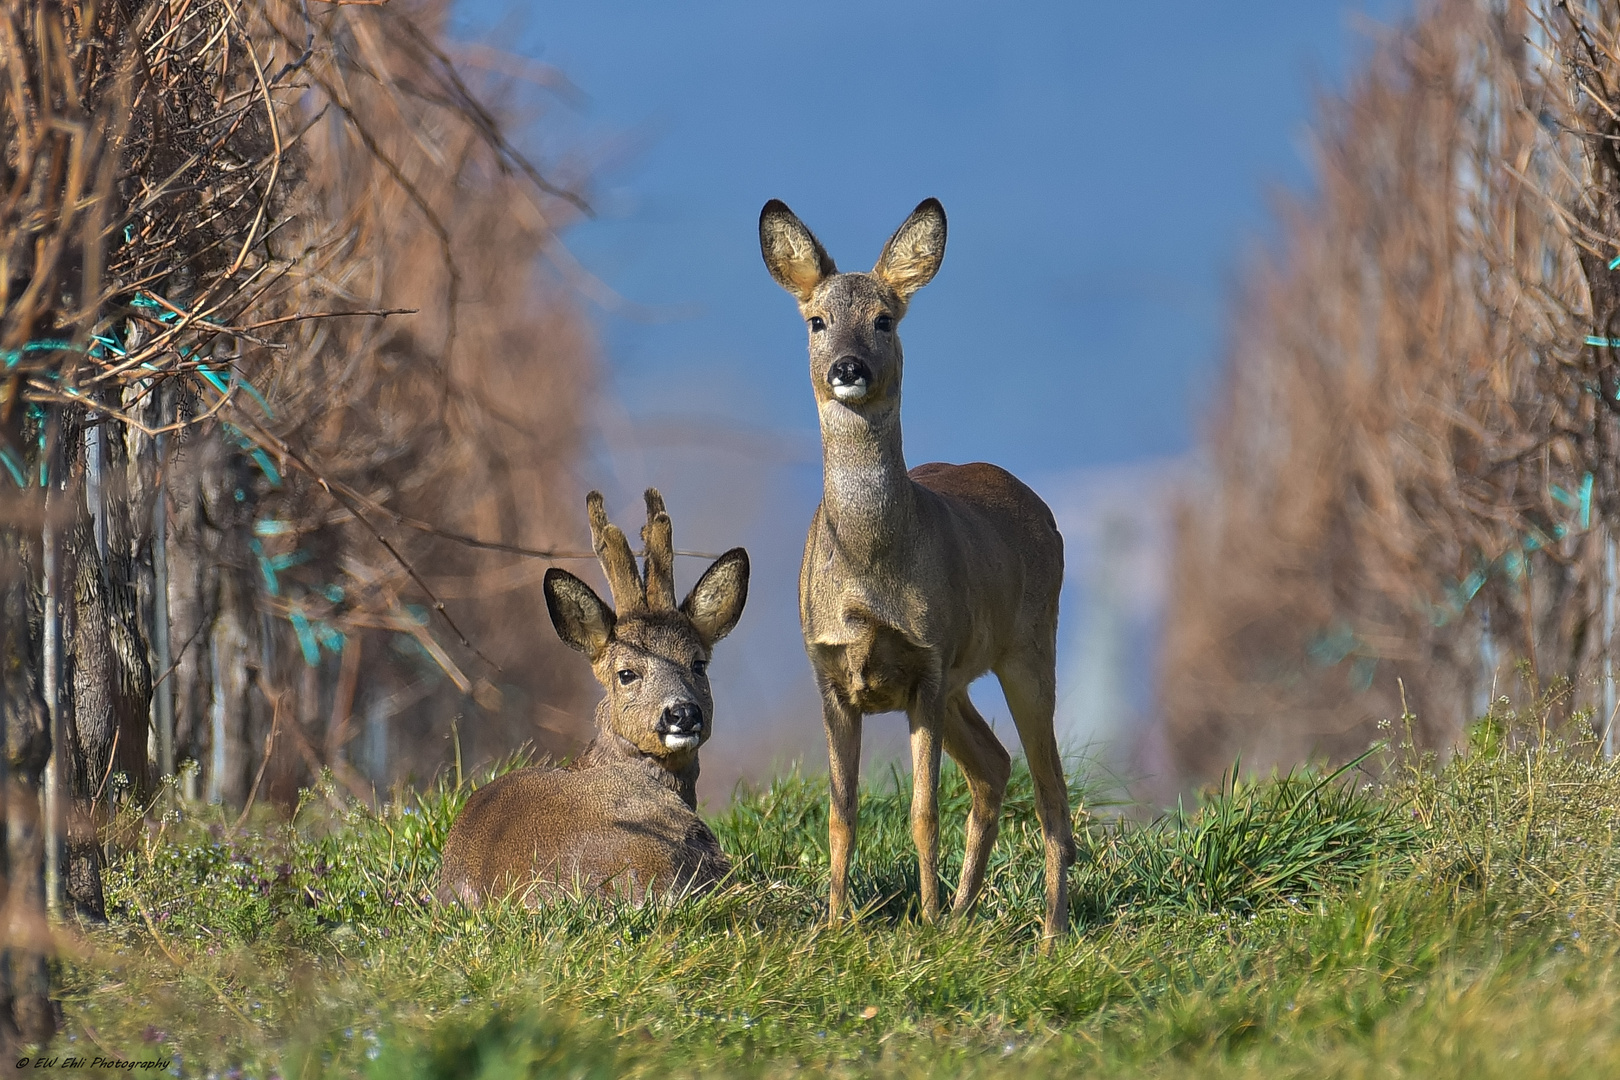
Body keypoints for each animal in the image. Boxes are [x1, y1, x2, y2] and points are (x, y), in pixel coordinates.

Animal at [758, 198, 1075, 939]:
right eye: (816, 320)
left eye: (885, 318)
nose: (847, 366)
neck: (868, 574)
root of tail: (1040, 506)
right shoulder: (830, 672)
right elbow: (840, 814)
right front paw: (835, 923)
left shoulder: (926, 665)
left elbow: (923, 812)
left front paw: (923, 920)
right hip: (966, 675)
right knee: (995, 764)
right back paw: (964, 912)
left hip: (1028, 647)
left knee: (1050, 788)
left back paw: (1046, 933)